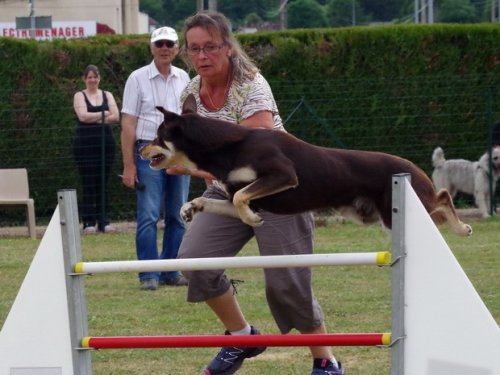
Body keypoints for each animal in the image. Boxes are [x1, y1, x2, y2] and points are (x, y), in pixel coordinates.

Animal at [140, 94, 472, 235]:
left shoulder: (283, 174)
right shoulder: (250, 193)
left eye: (158, 136)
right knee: (440, 200)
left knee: (443, 196)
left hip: (402, 210)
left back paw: (462, 227)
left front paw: (252, 220)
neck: (229, 146)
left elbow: (239, 196)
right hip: (374, 215)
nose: (141, 149)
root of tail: (413, 168)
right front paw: (190, 208)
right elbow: (225, 199)